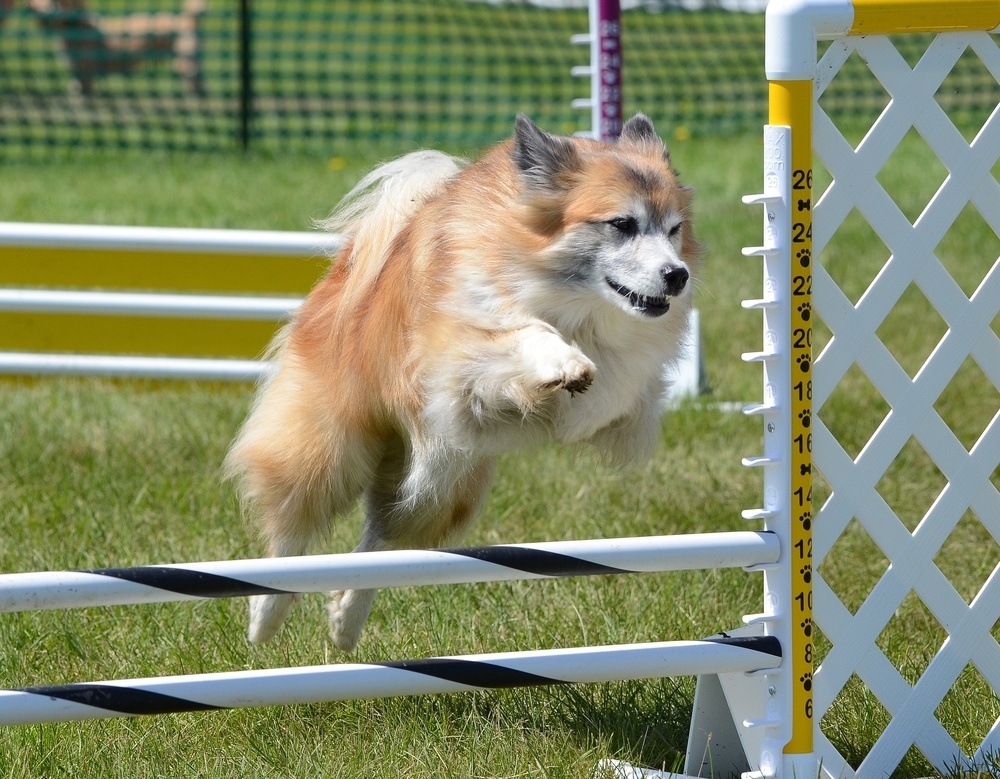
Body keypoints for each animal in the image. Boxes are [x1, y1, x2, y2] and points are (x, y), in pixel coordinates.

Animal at [29, 0, 205, 96]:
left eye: (55, 1)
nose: (39, 12)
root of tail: (186, 19)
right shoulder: (77, 71)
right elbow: (75, 87)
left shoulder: (86, 71)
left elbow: (84, 90)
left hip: (184, 62)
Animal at [225, 116, 704, 652]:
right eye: (622, 225)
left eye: (674, 229)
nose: (678, 275)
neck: (563, 294)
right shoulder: (454, 361)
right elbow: (522, 334)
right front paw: (562, 361)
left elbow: (610, 386)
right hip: (332, 447)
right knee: (293, 526)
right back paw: (264, 617)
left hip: (445, 484)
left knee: (382, 541)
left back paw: (346, 620)